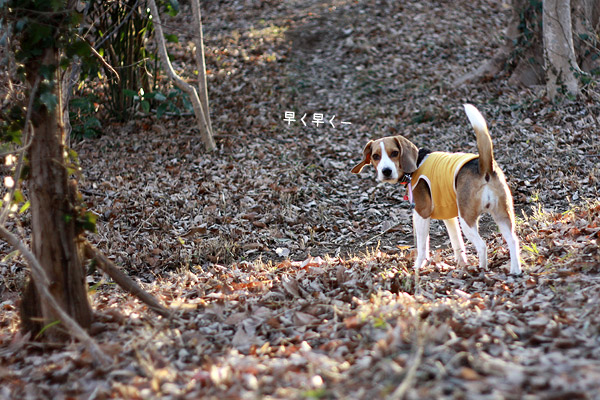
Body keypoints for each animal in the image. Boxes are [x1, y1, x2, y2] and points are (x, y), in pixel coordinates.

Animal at [352, 104, 520, 276]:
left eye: (395, 153)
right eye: (376, 156)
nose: (386, 171)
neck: (416, 164)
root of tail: (484, 167)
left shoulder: (421, 214)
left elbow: (422, 247)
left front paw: (418, 267)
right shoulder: (449, 217)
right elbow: (457, 243)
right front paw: (461, 264)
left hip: (467, 218)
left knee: (482, 245)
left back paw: (481, 270)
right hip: (502, 215)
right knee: (513, 240)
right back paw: (515, 271)